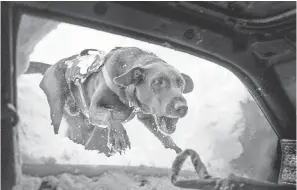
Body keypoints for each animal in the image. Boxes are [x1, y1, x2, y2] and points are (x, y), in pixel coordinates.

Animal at [40, 47, 194, 156]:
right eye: (158, 82)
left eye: (181, 83)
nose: (182, 107)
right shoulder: (94, 110)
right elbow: (111, 116)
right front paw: (119, 136)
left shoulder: (146, 116)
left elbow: (164, 136)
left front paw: (177, 152)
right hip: (57, 106)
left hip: (81, 124)